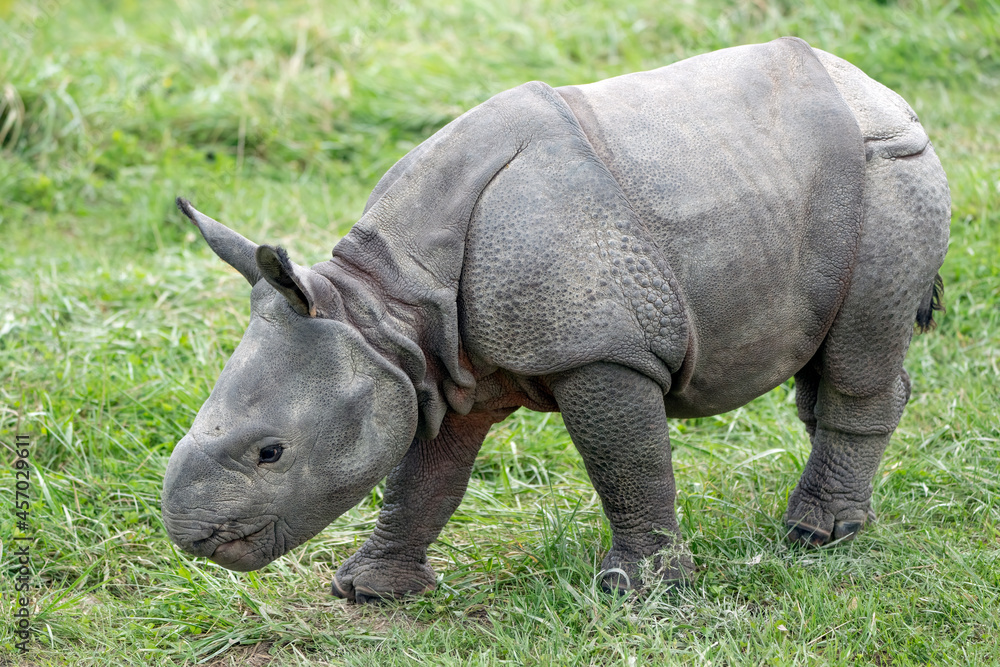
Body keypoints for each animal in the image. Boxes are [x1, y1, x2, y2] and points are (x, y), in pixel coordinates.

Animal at [161, 37, 949, 602]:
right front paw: (368, 591)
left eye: (271, 453)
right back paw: (833, 520)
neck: (384, 304)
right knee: (829, 350)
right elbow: (422, 477)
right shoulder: (437, 368)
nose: (191, 539)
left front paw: (640, 592)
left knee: (857, 353)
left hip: (891, 173)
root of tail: (888, 95)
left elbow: (626, 460)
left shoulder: (599, 347)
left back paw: (816, 536)